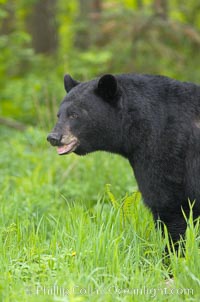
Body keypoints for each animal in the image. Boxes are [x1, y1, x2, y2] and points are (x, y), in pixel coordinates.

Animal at [47, 74, 200, 244]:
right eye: (58, 115)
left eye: (74, 114)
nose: (53, 137)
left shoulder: (167, 153)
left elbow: (168, 205)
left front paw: (173, 249)